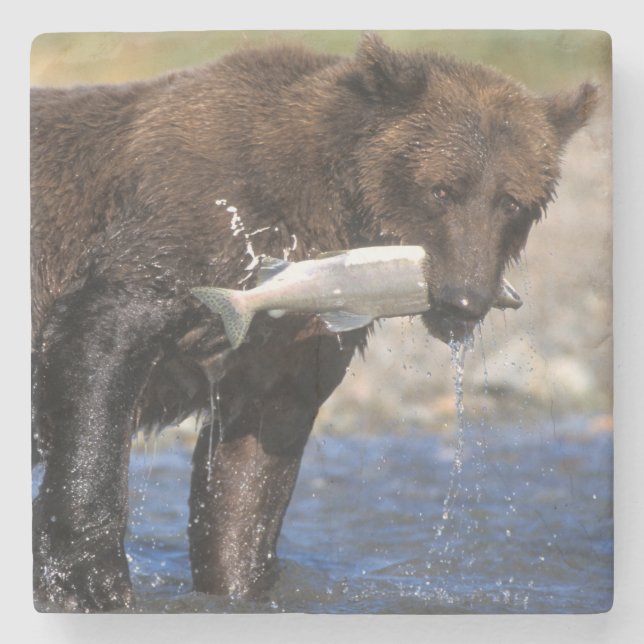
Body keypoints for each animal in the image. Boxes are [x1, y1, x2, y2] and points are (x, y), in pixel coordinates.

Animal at [31, 33, 597, 611]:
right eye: (443, 189)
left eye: (512, 201)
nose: (465, 299)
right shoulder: (179, 228)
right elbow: (100, 357)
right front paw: (92, 584)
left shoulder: (287, 345)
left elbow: (249, 476)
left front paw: (239, 582)